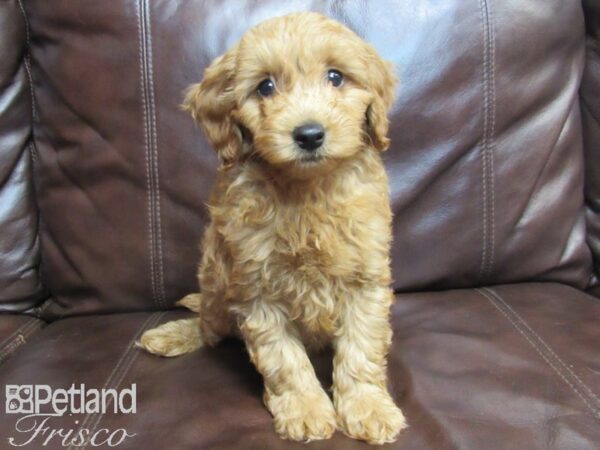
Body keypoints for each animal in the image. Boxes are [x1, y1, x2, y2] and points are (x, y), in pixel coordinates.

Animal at [138, 12, 406, 444]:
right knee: (210, 327)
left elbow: (361, 348)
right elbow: (284, 360)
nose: (309, 134)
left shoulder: (366, 281)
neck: (306, 190)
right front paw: (305, 408)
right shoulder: (256, 289)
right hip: (216, 282)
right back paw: (173, 334)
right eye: (265, 86)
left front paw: (368, 407)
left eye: (335, 77)